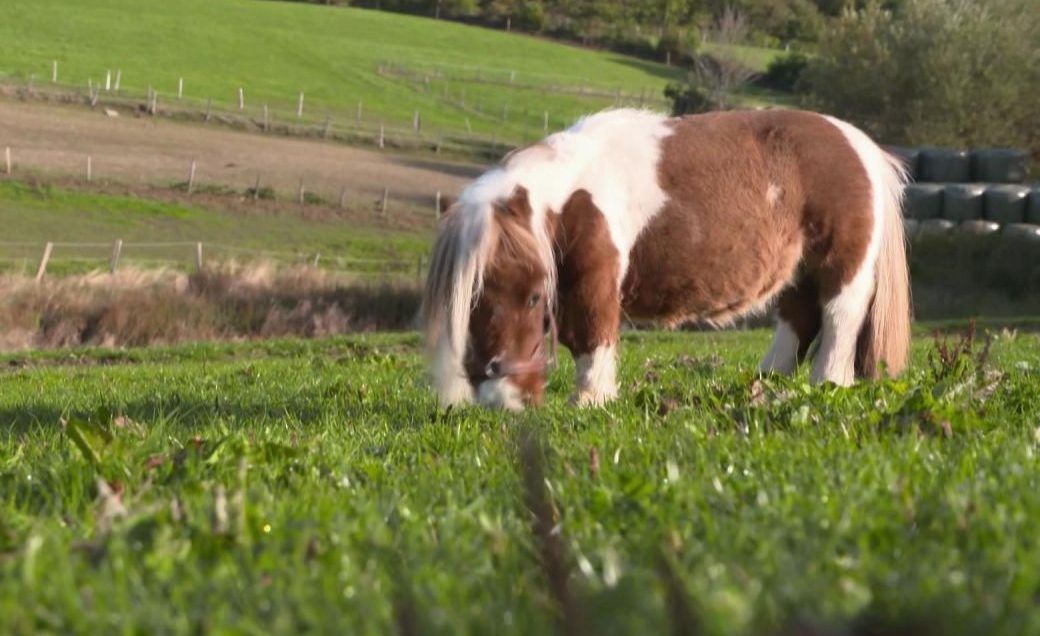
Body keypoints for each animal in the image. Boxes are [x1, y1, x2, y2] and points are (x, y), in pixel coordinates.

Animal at [422, 107, 911, 409]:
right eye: (470, 305)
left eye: (530, 299)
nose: (501, 401)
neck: (574, 193)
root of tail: (861, 146)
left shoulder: (594, 277)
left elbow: (591, 334)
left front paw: (590, 401)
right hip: (798, 269)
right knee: (798, 318)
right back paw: (764, 382)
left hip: (841, 268)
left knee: (838, 319)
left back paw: (825, 383)